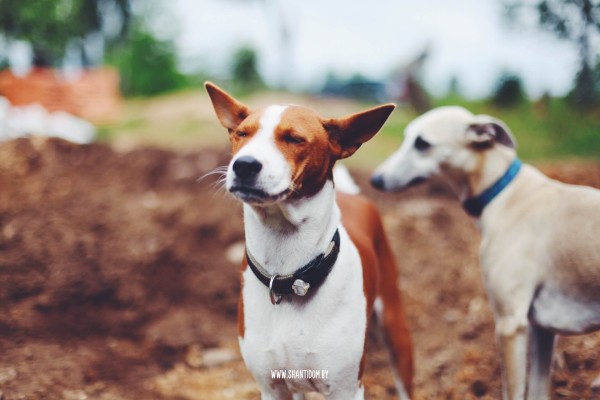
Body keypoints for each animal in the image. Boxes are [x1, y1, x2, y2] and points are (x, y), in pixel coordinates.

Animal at [206, 82, 412, 400]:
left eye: (294, 138)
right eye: (242, 134)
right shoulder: (272, 387)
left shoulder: (345, 389)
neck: (289, 277)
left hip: (395, 328)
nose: (244, 165)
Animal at [370, 106, 600, 400]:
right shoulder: (541, 329)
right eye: (407, 137)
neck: (503, 192)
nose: (375, 179)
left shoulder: (510, 325)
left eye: (422, 143)